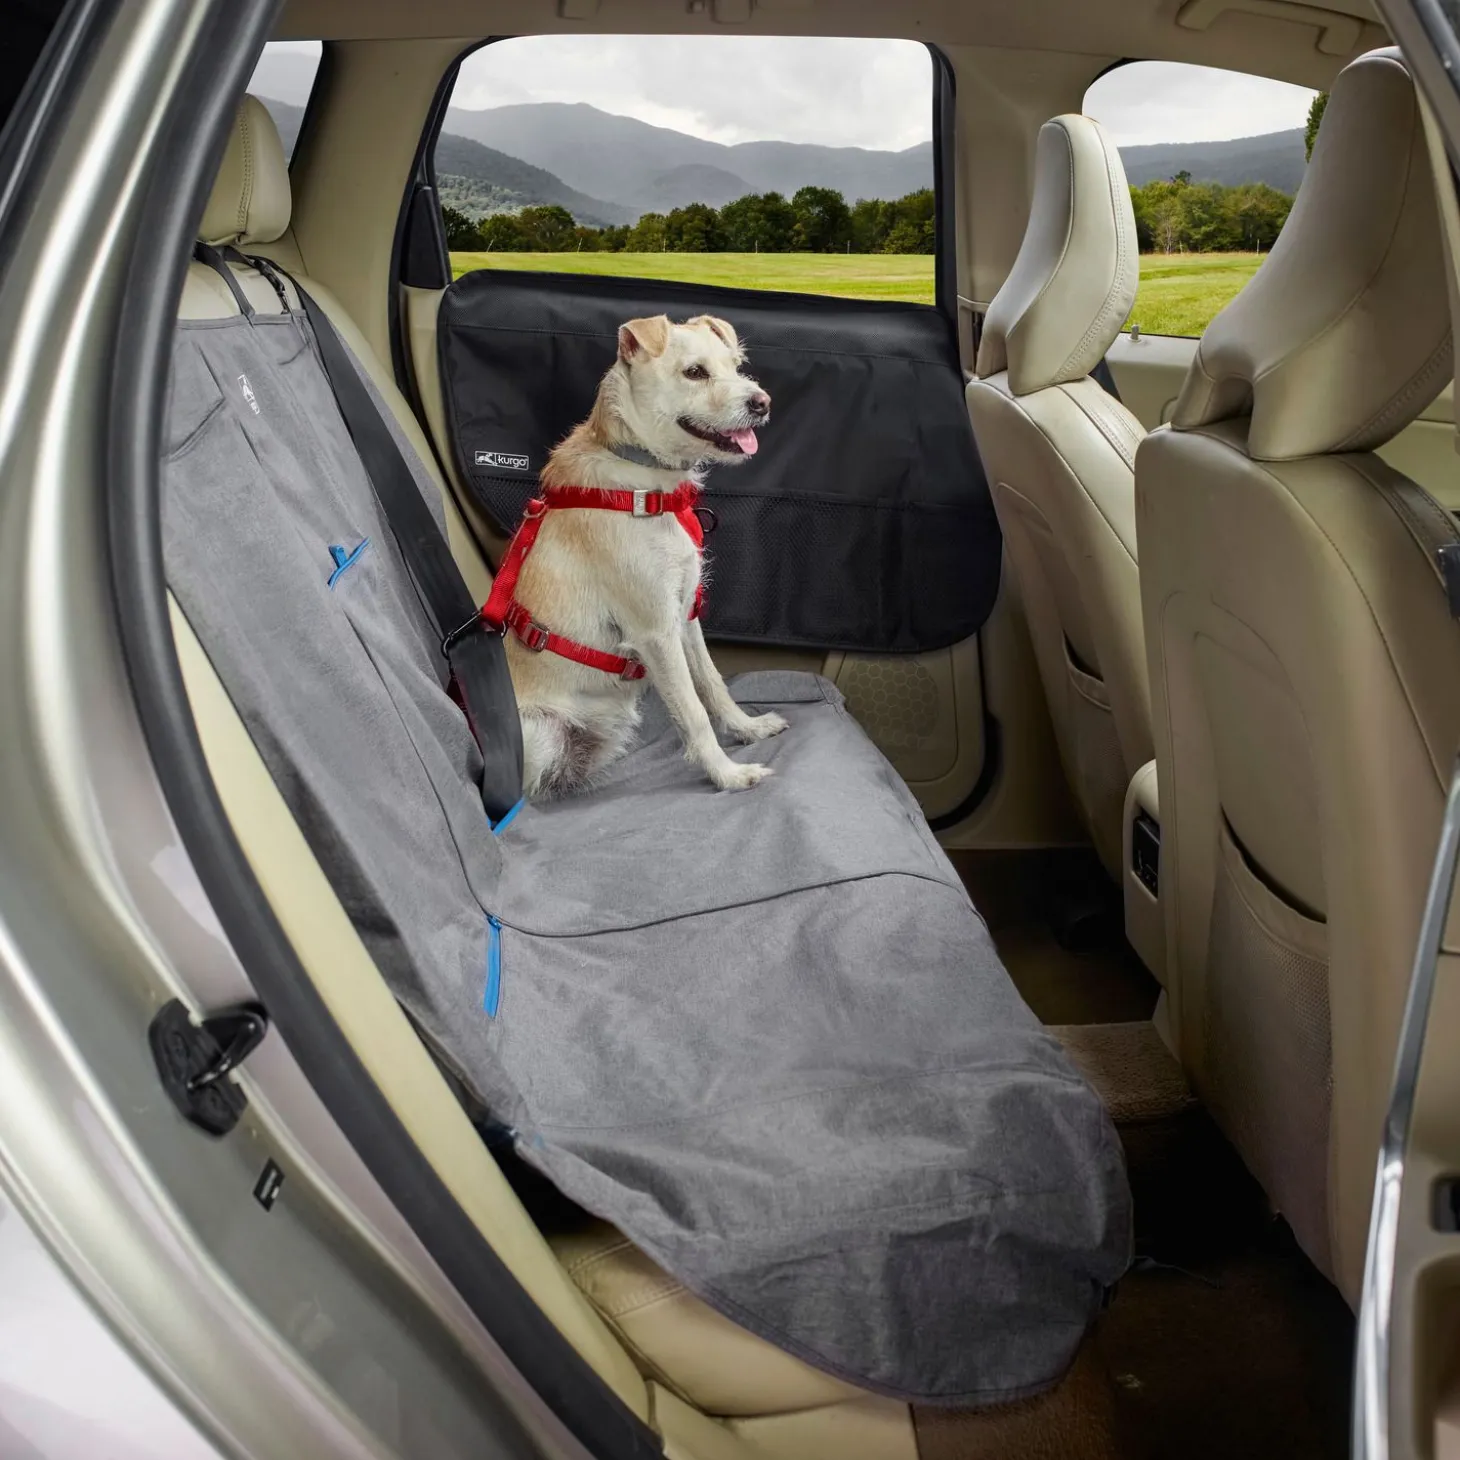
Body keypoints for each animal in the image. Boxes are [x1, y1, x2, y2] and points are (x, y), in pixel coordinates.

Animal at [499, 313, 788, 799]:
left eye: (735, 366)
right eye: (695, 372)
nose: (762, 403)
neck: (647, 481)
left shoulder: (685, 616)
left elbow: (712, 683)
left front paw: (747, 728)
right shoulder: (656, 632)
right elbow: (693, 711)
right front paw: (727, 774)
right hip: (539, 731)